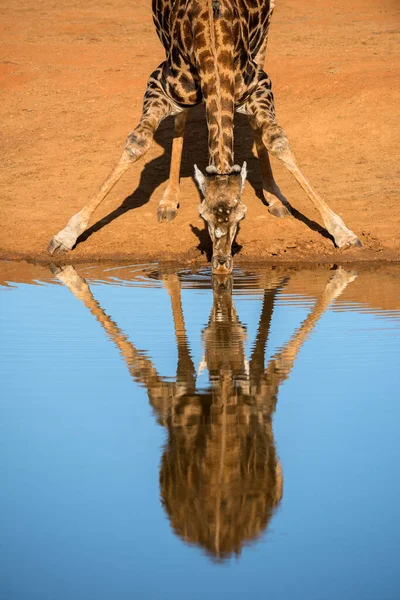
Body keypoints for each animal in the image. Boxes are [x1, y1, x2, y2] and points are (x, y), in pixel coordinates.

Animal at [47, 0, 362, 274]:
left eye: (242, 215)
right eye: (202, 216)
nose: (221, 265)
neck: (213, 42)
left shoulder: (261, 83)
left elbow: (276, 139)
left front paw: (343, 234)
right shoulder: (159, 82)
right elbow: (138, 142)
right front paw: (65, 235)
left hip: (265, 31)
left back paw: (274, 197)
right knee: (181, 118)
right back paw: (168, 200)